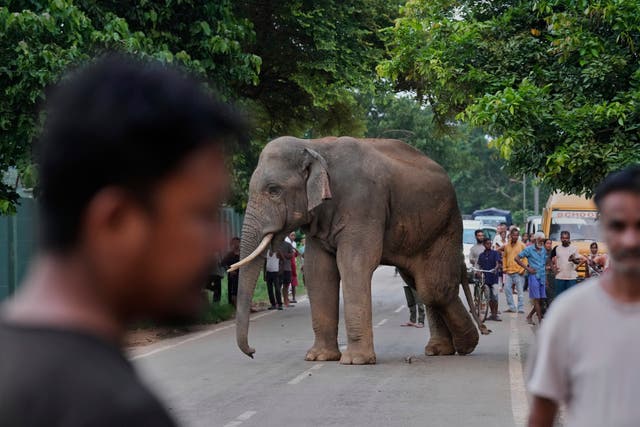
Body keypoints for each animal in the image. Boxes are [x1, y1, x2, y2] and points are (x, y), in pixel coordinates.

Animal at [230, 136, 489, 365]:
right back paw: (441, 349)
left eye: (274, 190)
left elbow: (353, 264)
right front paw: (319, 357)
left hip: (446, 226)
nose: (252, 352)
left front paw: (355, 361)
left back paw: (466, 345)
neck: (315, 145)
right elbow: (318, 271)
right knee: (420, 284)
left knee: (433, 288)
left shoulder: (363, 202)